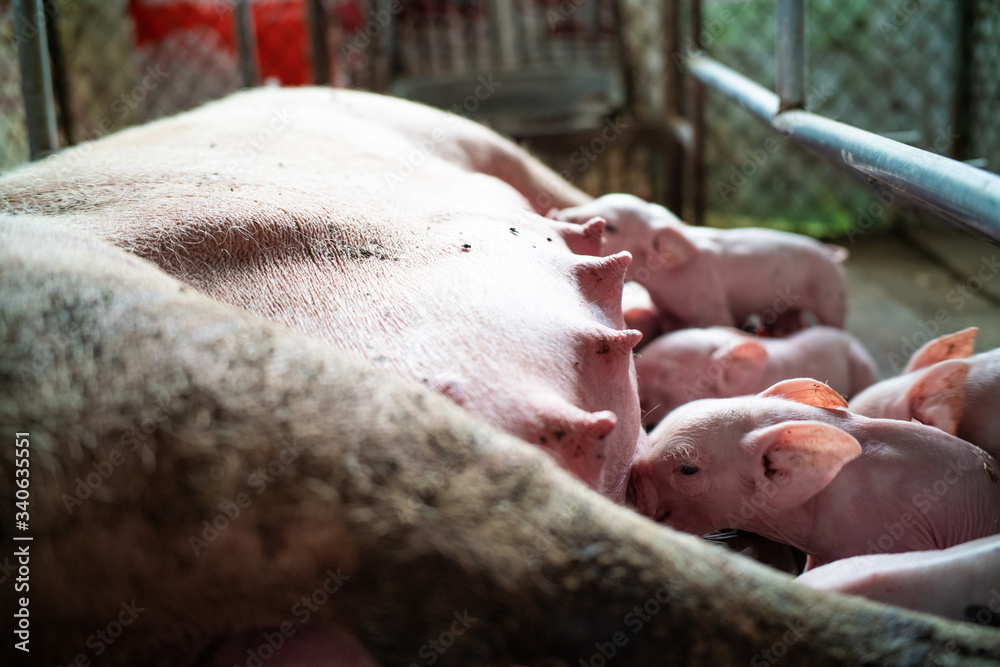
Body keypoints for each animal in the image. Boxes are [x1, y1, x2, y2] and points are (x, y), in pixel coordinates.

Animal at [550, 193, 849, 333]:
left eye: (611, 227)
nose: (555, 212)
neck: (662, 285)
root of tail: (832, 253)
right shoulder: (667, 312)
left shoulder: (712, 307)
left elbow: (722, 324)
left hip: (832, 296)